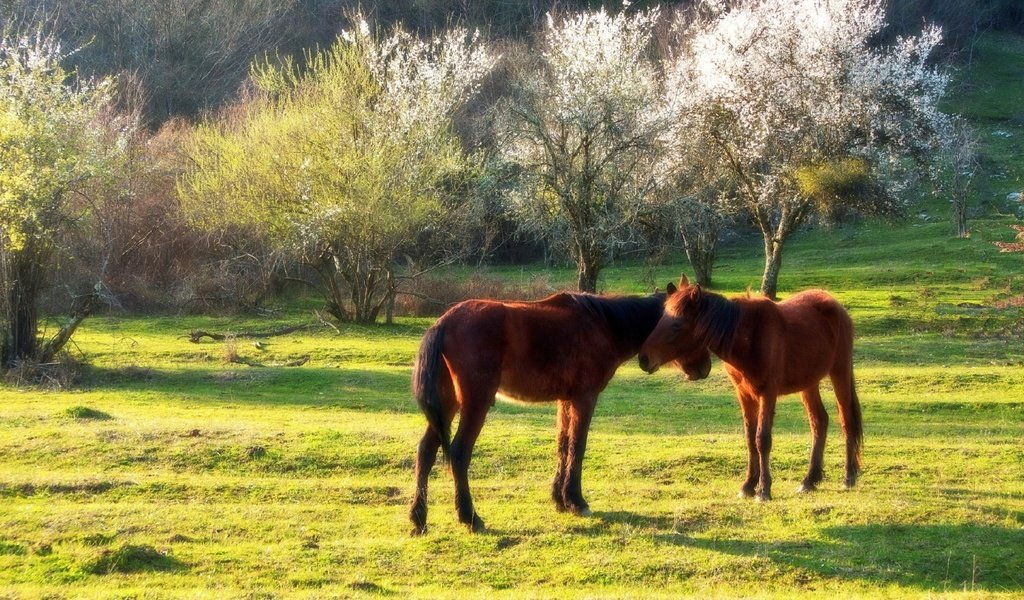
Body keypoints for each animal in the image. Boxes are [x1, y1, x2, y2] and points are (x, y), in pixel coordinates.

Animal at [411, 284, 708, 532]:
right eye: (679, 325)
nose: (703, 368)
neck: (602, 324)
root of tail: (443, 323)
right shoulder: (584, 398)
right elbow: (577, 446)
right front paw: (576, 501)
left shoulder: (566, 401)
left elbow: (563, 445)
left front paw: (559, 499)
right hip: (475, 404)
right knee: (459, 454)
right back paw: (470, 517)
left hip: (447, 405)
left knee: (426, 451)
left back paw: (419, 518)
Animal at [638, 276, 864, 499]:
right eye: (661, 320)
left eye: (677, 325)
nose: (643, 359)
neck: (749, 338)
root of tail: (835, 305)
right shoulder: (744, 394)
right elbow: (750, 439)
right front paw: (748, 485)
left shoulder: (768, 393)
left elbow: (762, 439)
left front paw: (764, 489)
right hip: (808, 383)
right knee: (819, 421)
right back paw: (809, 480)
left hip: (840, 372)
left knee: (846, 419)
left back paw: (848, 477)